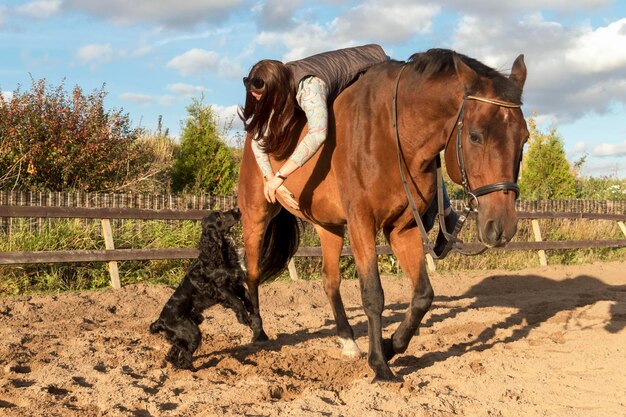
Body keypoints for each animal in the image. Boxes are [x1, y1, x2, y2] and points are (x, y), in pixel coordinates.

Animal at [148, 207, 251, 368]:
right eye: (219, 216)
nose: (237, 209)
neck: (219, 255)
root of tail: (161, 321)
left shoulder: (236, 283)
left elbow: (246, 296)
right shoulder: (222, 287)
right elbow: (237, 301)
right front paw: (244, 318)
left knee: (174, 352)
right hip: (192, 332)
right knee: (184, 355)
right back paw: (194, 369)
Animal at [236, 48, 524, 380]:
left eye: (525, 138)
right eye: (475, 136)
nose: (501, 227)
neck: (394, 132)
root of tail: (258, 134)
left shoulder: (403, 228)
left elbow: (423, 295)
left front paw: (390, 346)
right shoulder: (362, 223)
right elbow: (373, 295)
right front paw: (380, 365)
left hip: (329, 227)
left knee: (330, 281)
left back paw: (348, 341)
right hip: (256, 216)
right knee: (253, 272)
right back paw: (258, 332)